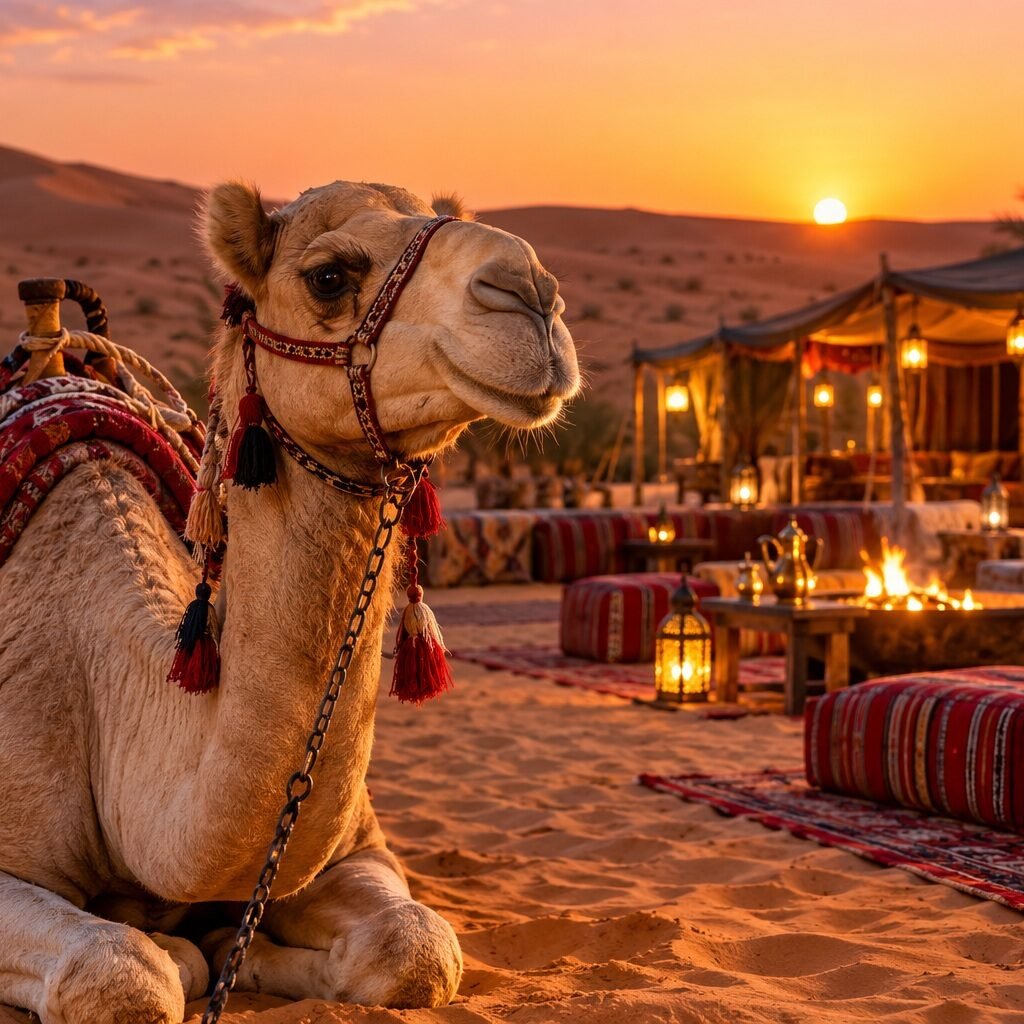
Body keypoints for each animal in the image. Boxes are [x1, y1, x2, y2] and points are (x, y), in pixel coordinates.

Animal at [0, 179, 579, 1024]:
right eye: (328, 276)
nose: (533, 292)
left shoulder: (357, 849)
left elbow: (413, 945)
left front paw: (229, 946)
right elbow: (121, 974)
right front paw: (186, 950)